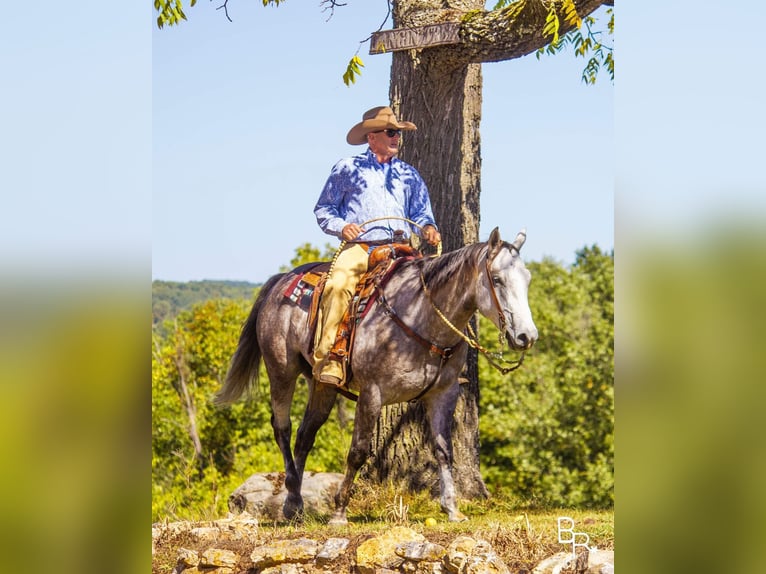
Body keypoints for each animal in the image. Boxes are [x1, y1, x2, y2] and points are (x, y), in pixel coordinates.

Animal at [214, 227, 540, 524]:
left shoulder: (443, 393)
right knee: (282, 429)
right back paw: (292, 499)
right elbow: (358, 451)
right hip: (281, 371)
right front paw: (339, 512)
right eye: (496, 279)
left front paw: (452, 509)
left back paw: (295, 501)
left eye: (527, 280)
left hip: (322, 385)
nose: (527, 336)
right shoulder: (371, 393)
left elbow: (444, 451)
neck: (420, 317)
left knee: (305, 436)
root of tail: (280, 280)